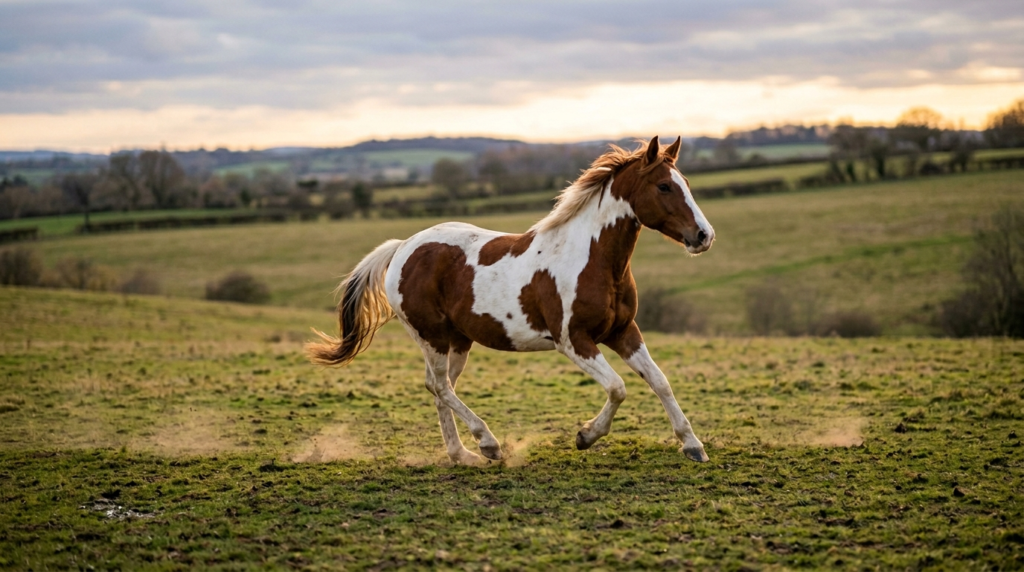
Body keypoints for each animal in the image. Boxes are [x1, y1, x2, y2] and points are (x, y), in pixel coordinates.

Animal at [307, 135, 715, 465]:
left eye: (686, 183)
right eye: (664, 186)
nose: (704, 235)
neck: (590, 257)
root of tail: (403, 248)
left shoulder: (623, 332)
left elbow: (660, 382)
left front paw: (693, 446)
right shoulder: (573, 341)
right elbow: (618, 387)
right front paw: (585, 436)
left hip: (457, 340)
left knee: (439, 388)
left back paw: (462, 455)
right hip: (431, 336)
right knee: (440, 387)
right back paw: (488, 444)